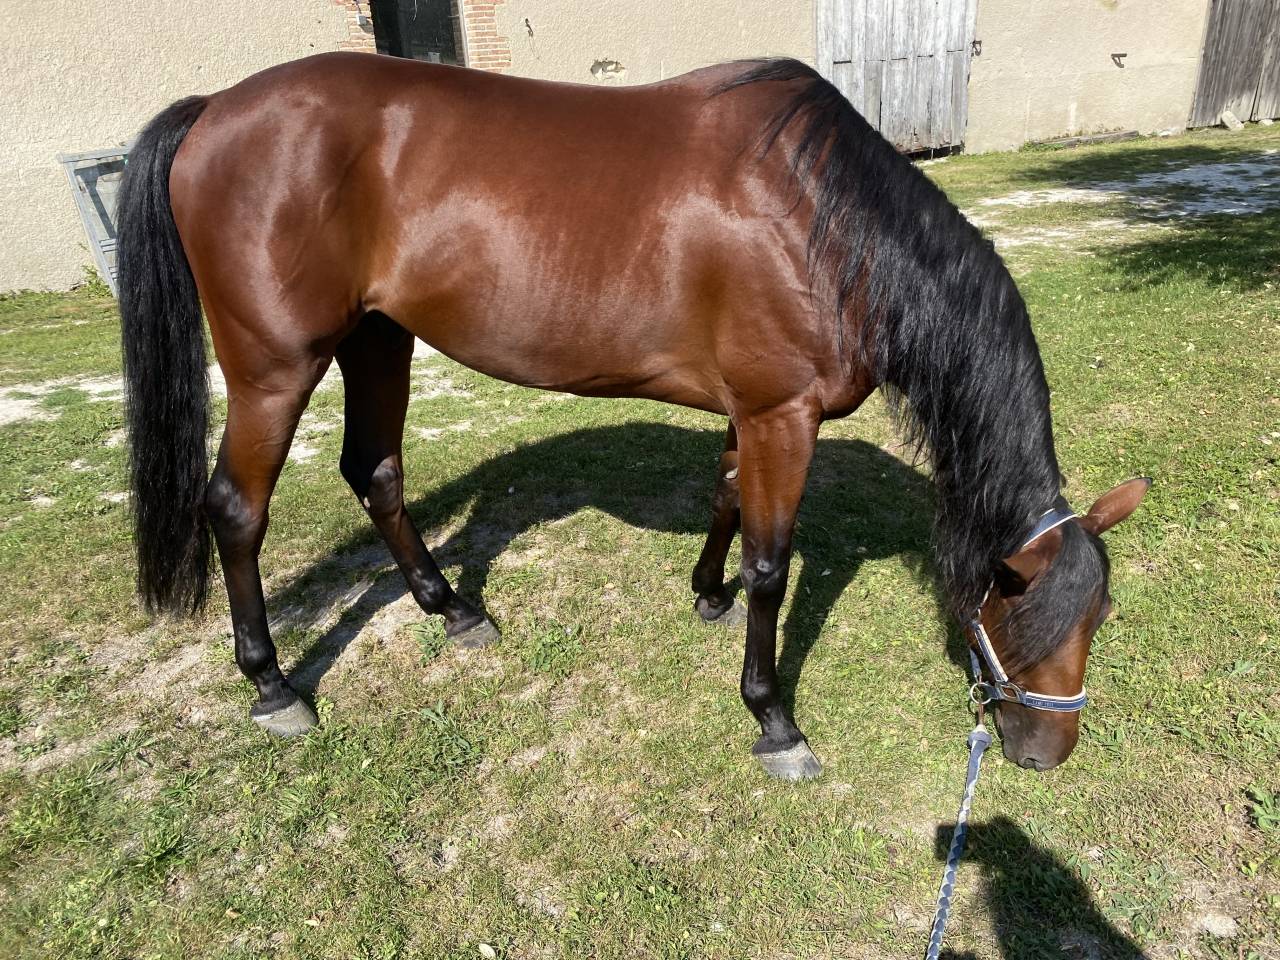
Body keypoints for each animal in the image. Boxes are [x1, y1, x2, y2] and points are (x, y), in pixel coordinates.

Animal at [115, 54, 1148, 780]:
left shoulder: (751, 412)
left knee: (374, 473)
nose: (1047, 755)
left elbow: (728, 502)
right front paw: (772, 717)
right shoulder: (784, 415)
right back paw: (273, 684)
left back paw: (454, 611)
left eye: (1098, 616)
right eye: (1020, 617)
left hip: (378, 339)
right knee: (236, 511)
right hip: (274, 370)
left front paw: (706, 591)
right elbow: (774, 566)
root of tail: (216, 108)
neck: (829, 224)